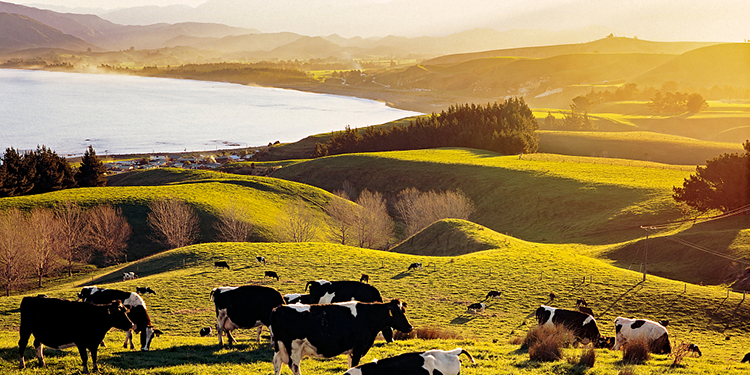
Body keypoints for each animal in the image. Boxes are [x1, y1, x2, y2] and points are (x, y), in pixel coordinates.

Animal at [268, 298, 414, 374]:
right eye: (397, 313)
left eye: (403, 311)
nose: (410, 327)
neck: (368, 316)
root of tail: (277, 309)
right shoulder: (358, 347)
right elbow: (354, 365)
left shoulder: (352, 350)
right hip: (294, 347)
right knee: (294, 366)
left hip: (280, 347)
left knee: (277, 363)